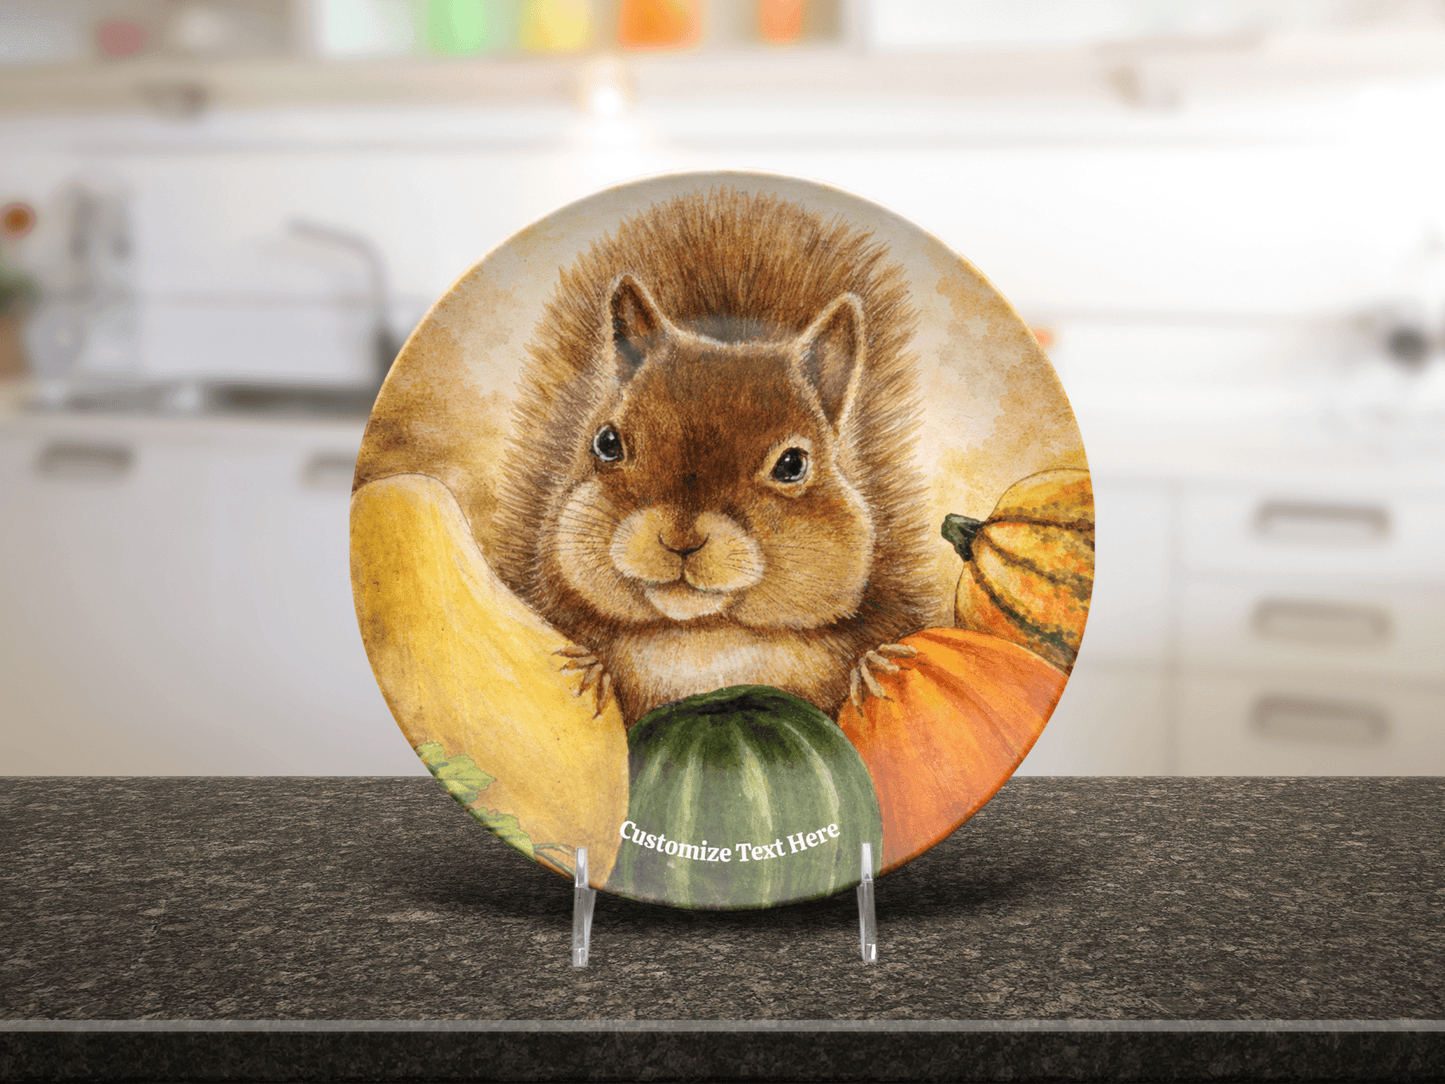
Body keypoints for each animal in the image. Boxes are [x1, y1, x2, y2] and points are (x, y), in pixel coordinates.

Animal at [491, 187, 937, 726]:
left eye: (793, 464)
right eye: (607, 442)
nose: (680, 540)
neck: (705, 641)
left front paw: (874, 665)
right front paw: (593, 668)